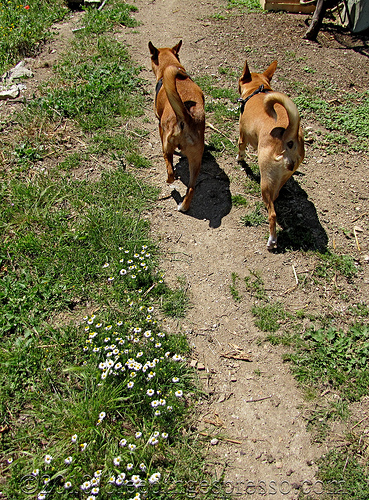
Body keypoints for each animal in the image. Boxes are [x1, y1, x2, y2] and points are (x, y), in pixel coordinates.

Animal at [148, 39, 206, 211]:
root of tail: (187, 116)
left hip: (167, 146)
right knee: (192, 188)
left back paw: (171, 186)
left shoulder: (159, 124)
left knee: (170, 173)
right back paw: (184, 206)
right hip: (196, 160)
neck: (170, 65)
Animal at [236, 59, 304, 250]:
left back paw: (272, 240)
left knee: (272, 214)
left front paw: (239, 159)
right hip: (282, 177)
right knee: (275, 196)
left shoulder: (242, 135)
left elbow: (240, 149)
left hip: (265, 180)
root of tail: (290, 136)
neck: (258, 90)